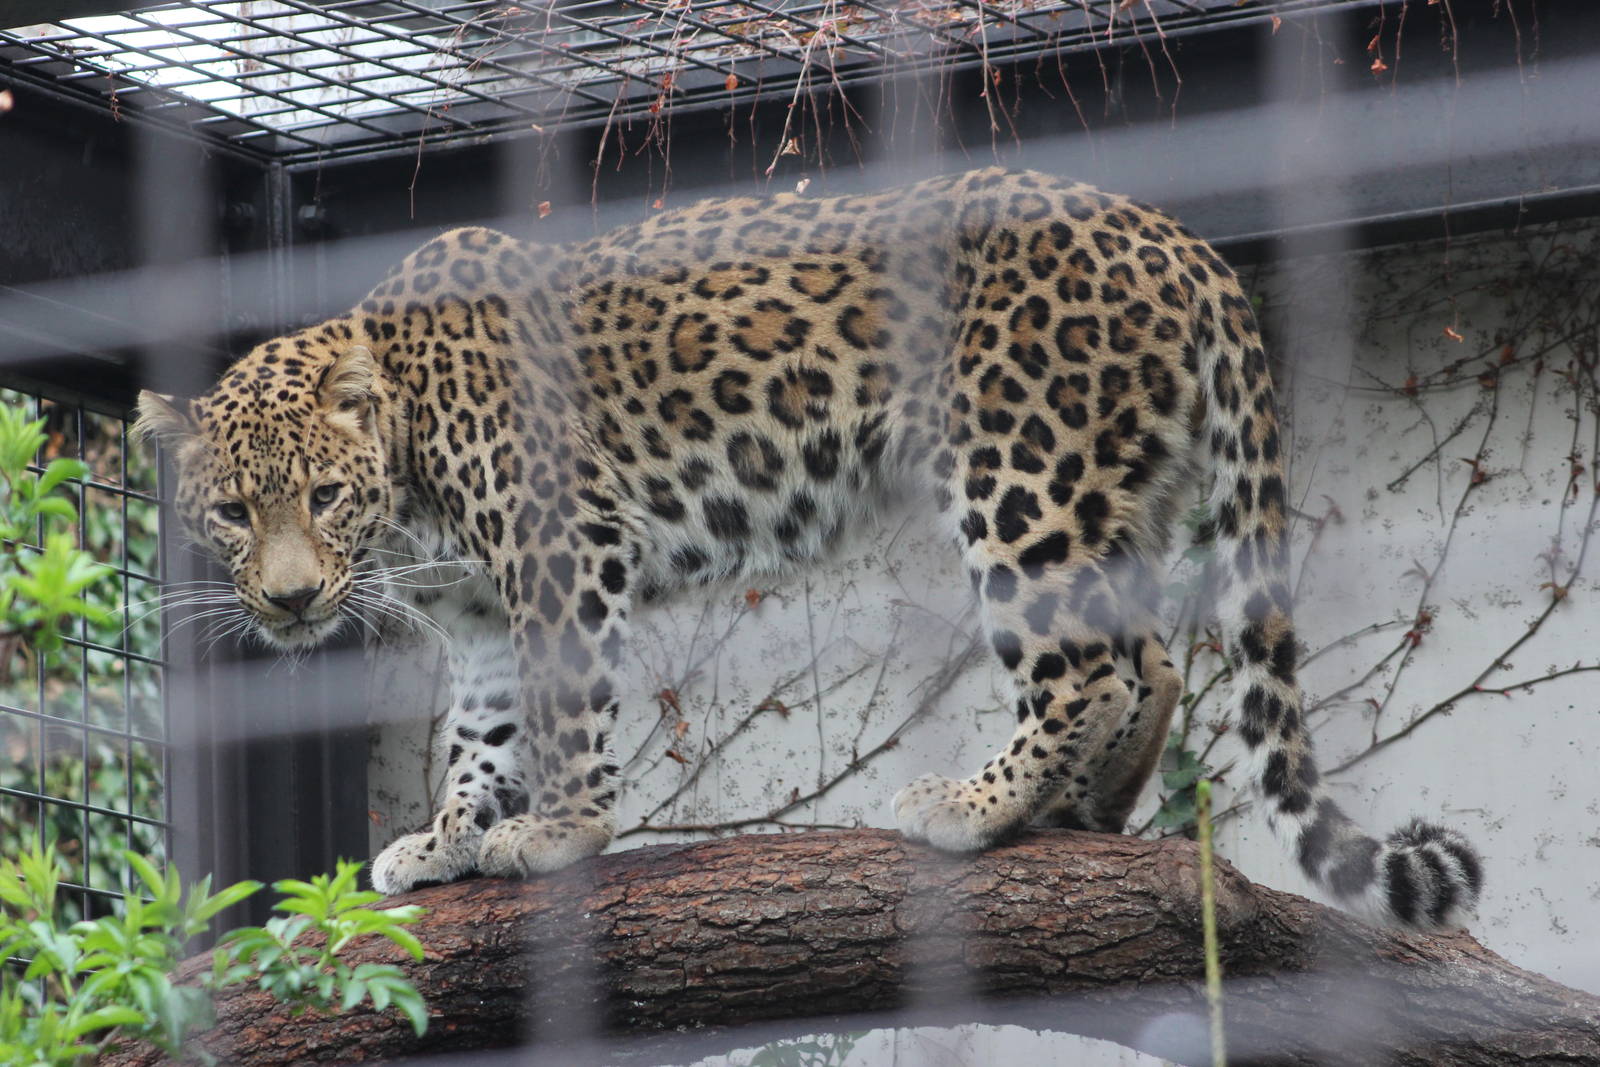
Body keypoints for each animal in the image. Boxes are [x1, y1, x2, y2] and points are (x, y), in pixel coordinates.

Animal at [136, 167, 1482, 929]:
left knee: (1085, 667)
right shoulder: (477, 607)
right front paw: (450, 835)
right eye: (232, 513)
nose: (291, 600)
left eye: (321, 493)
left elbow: (564, 711)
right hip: (1118, 486)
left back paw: (970, 808)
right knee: (1147, 657)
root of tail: (1176, 237)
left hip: (1017, 469)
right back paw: (1081, 811)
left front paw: (559, 832)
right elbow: (481, 732)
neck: (408, 471)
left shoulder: (564, 543)